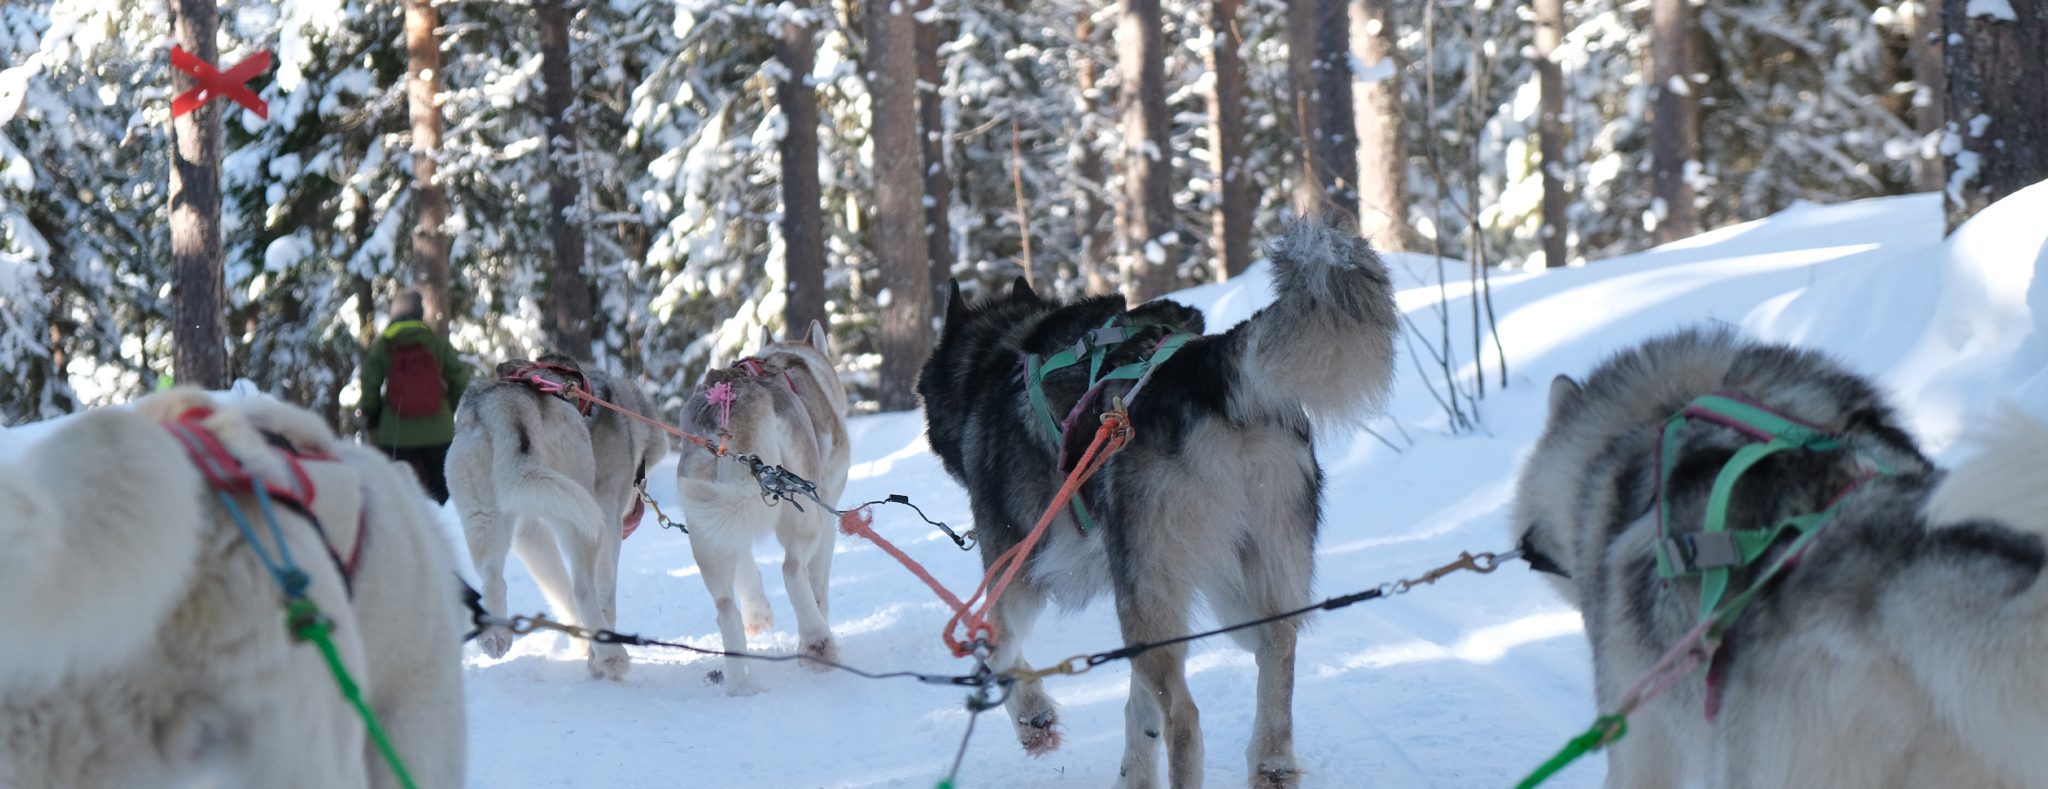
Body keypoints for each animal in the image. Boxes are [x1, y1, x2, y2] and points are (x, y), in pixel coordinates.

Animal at [450, 352, 667, 680]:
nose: (635, 516)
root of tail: (509, 405)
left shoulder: (529, 533)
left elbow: (558, 590)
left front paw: (585, 647)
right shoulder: (609, 519)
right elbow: (604, 595)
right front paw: (596, 656)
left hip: (483, 516)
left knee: (493, 576)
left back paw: (495, 636)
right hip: (584, 517)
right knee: (583, 588)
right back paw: (613, 656)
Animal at [675, 319, 851, 688]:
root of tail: (733, 397)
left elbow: (746, 569)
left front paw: (758, 616)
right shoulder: (828, 509)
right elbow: (818, 584)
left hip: (705, 517)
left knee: (725, 605)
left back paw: (740, 685)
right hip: (804, 509)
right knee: (792, 569)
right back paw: (817, 643)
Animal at [921, 218, 1400, 782]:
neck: (998, 357)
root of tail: (1208, 368)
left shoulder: (1014, 568)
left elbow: (998, 648)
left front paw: (1033, 719)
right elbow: (1137, 711)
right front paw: (1135, 775)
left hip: (1151, 587)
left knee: (1185, 717)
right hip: (1239, 579)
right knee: (1279, 644)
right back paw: (1272, 761)